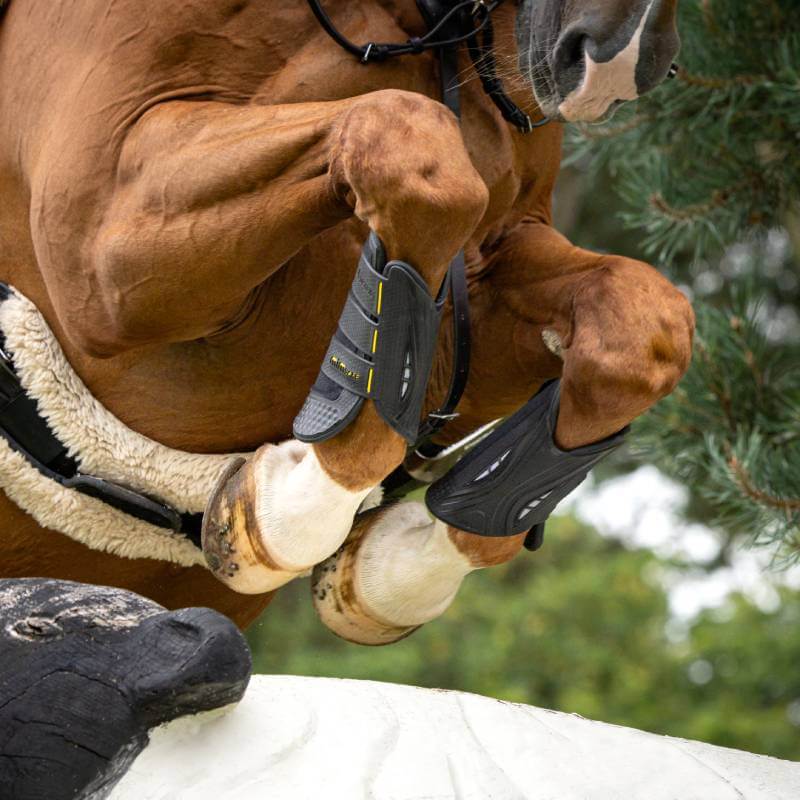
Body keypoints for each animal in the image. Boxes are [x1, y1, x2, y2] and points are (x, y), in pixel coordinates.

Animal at [0, 0, 693, 639]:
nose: (618, 55)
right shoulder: (102, 247)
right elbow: (414, 162)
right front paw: (278, 514)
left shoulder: (492, 277)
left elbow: (643, 330)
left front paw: (394, 568)